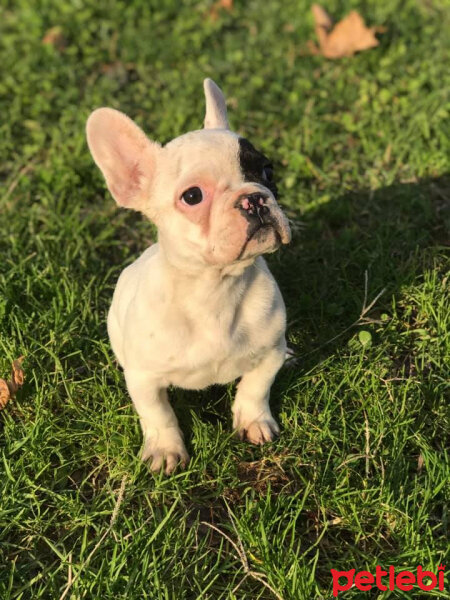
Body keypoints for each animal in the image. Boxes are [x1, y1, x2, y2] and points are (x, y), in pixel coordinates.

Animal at [87, 78, 292, 474]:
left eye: (267, 172)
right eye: (193, 196)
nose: (254, 199)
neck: (215, 288)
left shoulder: (269, 353)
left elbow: (256, 388)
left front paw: (253, 420)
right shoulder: (145, 379)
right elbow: (158, 414)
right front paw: (165, 450)